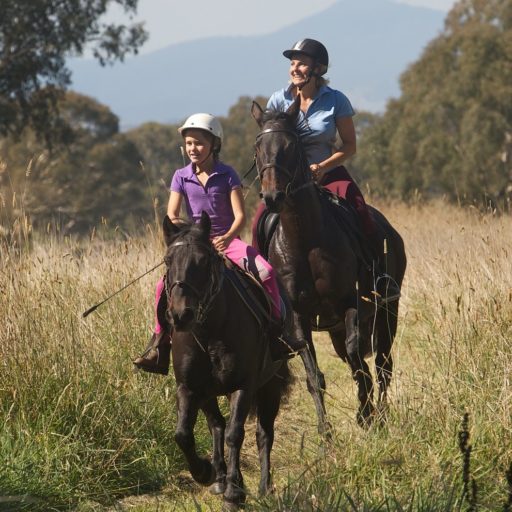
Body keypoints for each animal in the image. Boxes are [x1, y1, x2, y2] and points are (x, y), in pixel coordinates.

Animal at [162, 211, 290, 508]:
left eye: (203, 261)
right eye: (168, 261)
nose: (180, 315)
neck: (210, 331)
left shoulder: (243, 385)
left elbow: (236, 434)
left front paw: (234, 494)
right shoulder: (189, 387)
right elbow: (183, 434)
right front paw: (205, 472)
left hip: (270, 386)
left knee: (263, 433)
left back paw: (263, 487)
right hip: (208, 393)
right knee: (216, 425)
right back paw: (220, 478)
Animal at [250, 100, 406, 432]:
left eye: (290, 146)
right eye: (258, 147)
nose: (272, 196)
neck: (304, 238)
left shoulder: (350, 303)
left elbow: (359, 360)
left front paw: (366, 414)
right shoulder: (299, 317)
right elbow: (314, 376)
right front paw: (326, 433)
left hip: (388, 310)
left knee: (382, 364)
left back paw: (381, 414)